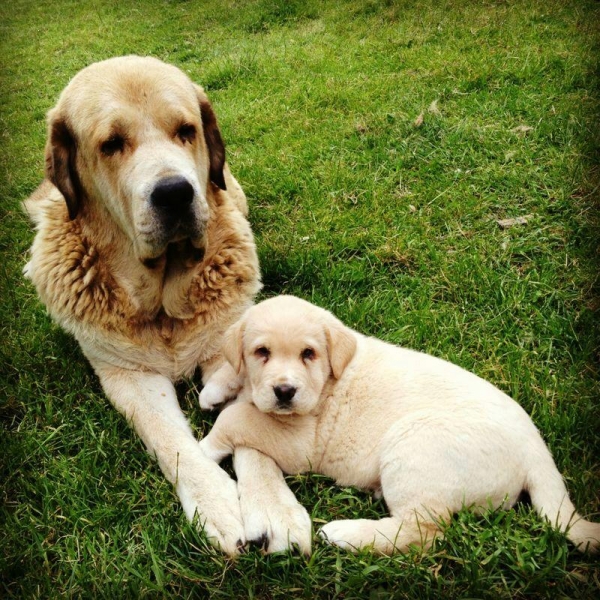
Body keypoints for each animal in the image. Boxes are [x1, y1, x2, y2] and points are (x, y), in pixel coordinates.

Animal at [24, 57, 310, 556]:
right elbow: (167, 436)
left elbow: (252, 421)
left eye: (186, 131)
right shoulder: (129, 376)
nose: (175, 193)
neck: (161, 303)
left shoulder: (228, 348)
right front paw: (218, 502)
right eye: (111, 144)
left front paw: (274, 506)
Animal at [202, 294, 600, 552]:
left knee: (423, 531)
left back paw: (345, 535)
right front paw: (213, 390)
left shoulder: (302, 443)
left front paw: (206, 446)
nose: (285, 391)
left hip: (415, 443)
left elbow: (239, 415)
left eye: (308, 354)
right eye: (262, 352)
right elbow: (233, 374)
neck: (330, 378)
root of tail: (536, 448)